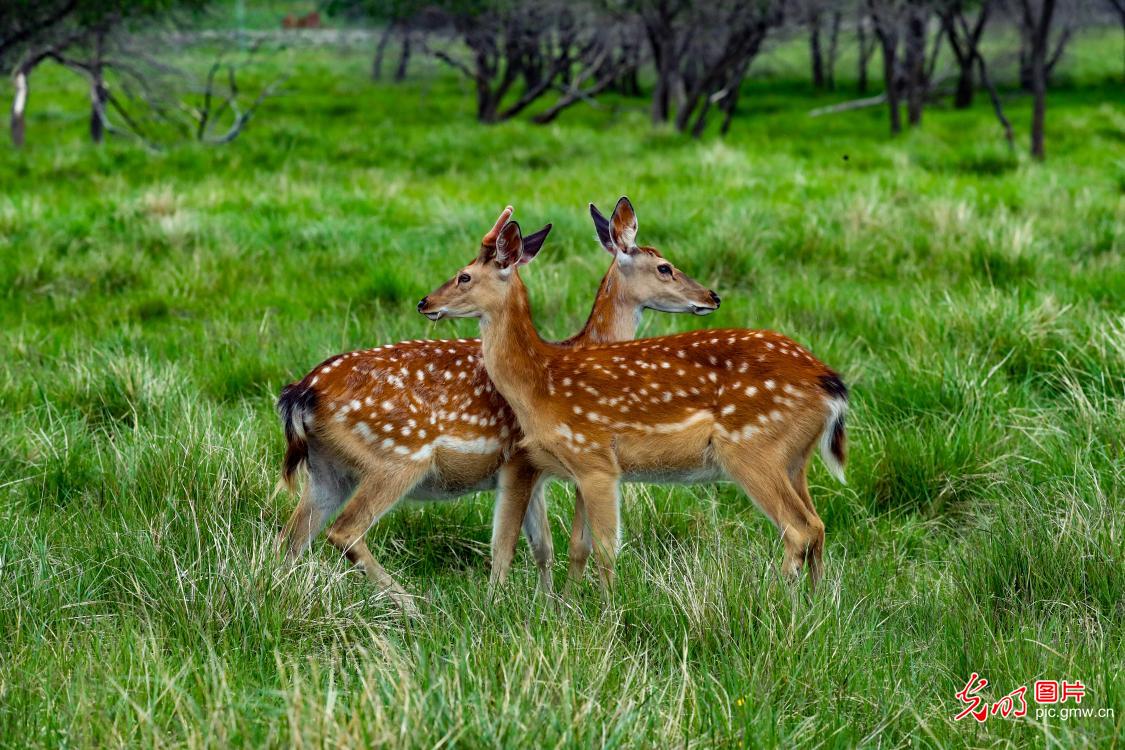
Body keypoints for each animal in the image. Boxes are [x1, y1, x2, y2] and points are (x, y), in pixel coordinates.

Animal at [276, 200, 720, 612]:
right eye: (665, 267)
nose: (712, 296)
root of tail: (301, 393)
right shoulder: (520, 459)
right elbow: (508, 544)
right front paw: (506, 605)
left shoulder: (544, 469)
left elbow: (545, 546)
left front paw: (548, 605)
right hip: (396, 457)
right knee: (344, 530)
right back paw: (413, 605)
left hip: (327, 469)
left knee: (289, 539)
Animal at [417, 213, 848, 596]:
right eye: (664, 267)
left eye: (463, 276)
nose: (424, 301)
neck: (541, 380)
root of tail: (830, 382)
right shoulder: (576, 467)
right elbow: (577, 545)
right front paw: (568, 607)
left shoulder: (593, 459)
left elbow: (600, 548)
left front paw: (602, 614)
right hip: (793, 458)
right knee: (817, 525)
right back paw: (815, 605)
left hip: (753, 447)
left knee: (800, 528)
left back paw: (773, 600)